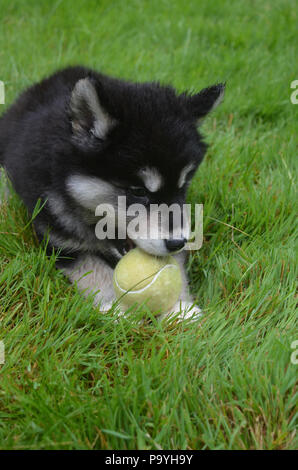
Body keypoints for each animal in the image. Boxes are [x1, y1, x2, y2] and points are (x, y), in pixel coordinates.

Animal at [0, 67, 224, 320]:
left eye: (182, 187)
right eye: (138, 191)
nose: (178, 242)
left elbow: (175, 265)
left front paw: (179, 308)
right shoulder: (59, 241)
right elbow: (92, 268)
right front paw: (114, 306)